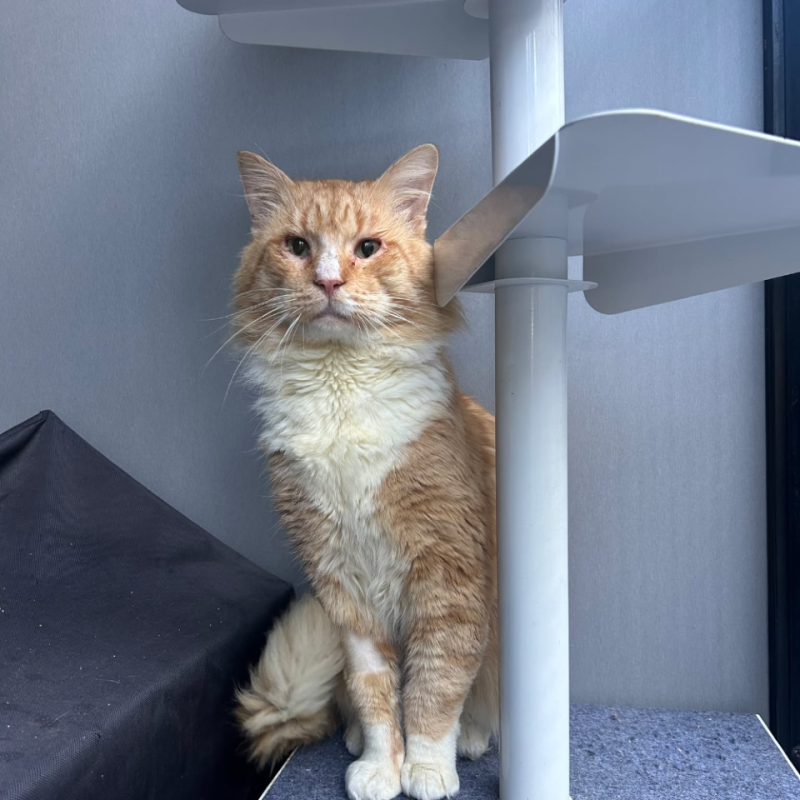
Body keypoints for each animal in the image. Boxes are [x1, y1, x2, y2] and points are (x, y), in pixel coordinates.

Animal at [232, 144, 497, 800]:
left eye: (368, 247)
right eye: (298, 246)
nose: (329, 281)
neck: (340, 390)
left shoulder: (447, 577)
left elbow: (434, 687)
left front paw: (426, 769)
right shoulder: (341, 585)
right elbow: (376, 693)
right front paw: (382, 766)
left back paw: (473, 738)